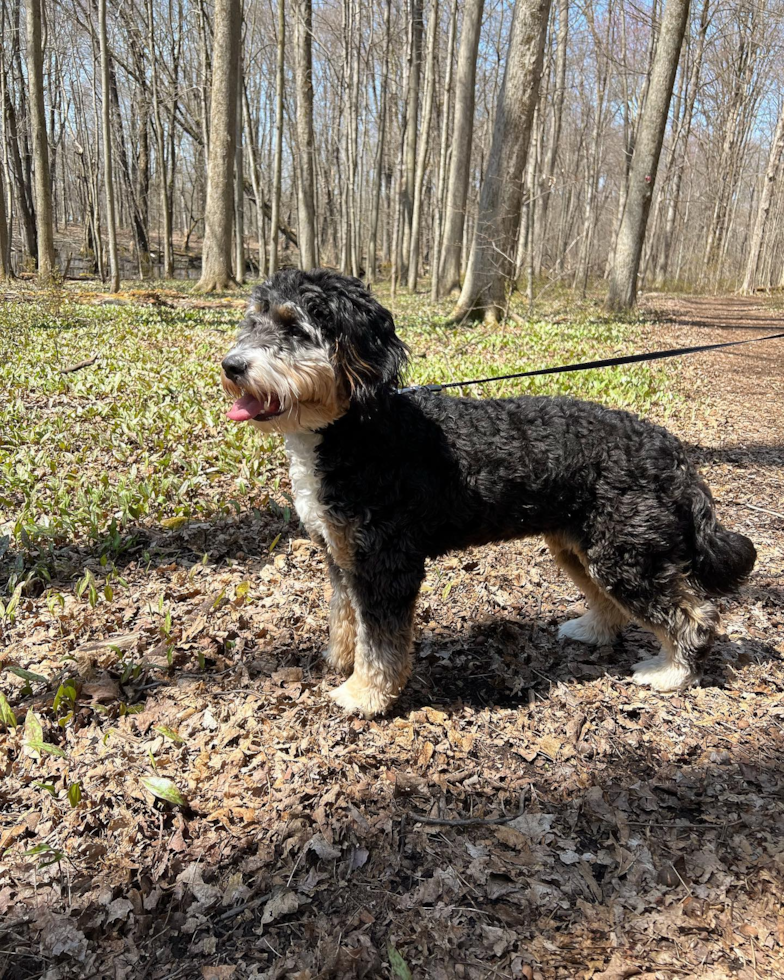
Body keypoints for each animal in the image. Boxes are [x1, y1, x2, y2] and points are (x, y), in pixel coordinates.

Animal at [217, 270, 756, 720]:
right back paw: (593, 631)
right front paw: (339, 659)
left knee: (697, 613)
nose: (231, 365)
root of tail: (671, 450)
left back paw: (672, 672)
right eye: (254, 320)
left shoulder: (386, 562)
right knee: (615, 602)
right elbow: (346, 617)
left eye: (295, 328)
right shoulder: (341, 553)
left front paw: (364, 694)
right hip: (584, 548)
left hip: (627, 556)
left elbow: (382, 641)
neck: (358, 428)